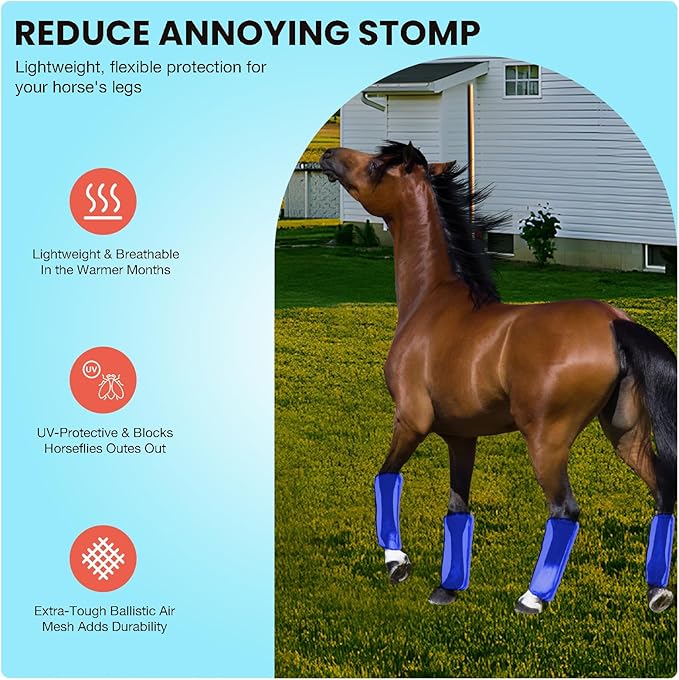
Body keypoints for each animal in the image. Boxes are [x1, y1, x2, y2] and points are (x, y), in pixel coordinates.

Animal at [320, 141, 676, 614]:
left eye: (378, 164)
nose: (328, 155)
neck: (431, 303)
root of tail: (614, 322)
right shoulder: (460, 437)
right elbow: (457, 507)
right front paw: (446, 588)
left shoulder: (412, 421)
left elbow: (385, 476)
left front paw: (397, 563)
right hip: (625, 432)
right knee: (662, 490)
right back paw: (657, 592)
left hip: (547, 441)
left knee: (565, 510)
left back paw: (532, 598)